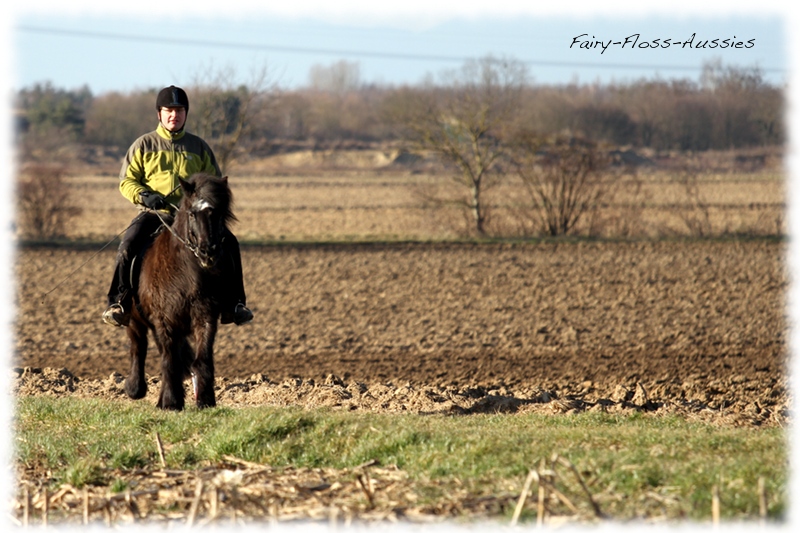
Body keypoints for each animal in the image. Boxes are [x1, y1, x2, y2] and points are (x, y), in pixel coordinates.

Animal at [122, 172, 234, 410]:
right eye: (192, 213)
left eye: (218, 213)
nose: (208, 252)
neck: (186, 273)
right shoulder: (164, 320)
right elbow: (168, 359)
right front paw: (171, 402)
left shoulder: (205, 315)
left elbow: (202, 358)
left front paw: (205, 400)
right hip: (135, 319)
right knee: (139, 346)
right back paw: (135, 388)